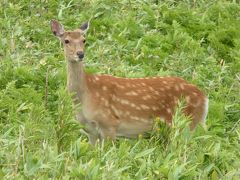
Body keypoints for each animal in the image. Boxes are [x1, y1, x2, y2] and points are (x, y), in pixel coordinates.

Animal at [50, 19, 208, 145]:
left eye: (84, 40)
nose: (80, 54)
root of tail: (204, 98)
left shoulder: (109, 123)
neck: (84, 97)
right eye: (66, 41)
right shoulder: (90, 130)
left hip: (187, 123)